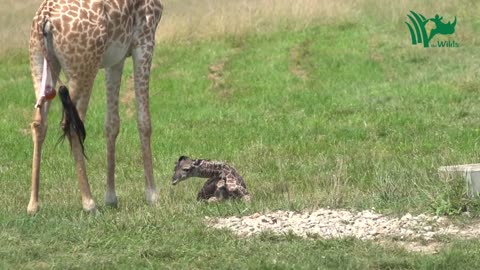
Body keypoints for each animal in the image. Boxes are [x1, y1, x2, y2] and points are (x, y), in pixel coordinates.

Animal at [28, 0, 163, 215]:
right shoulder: (145, 40)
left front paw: (111, 197)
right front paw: (152, 195)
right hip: (84, 69)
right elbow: (144, 122)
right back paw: (89, 203)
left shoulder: (116, 57)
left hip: (40, 63)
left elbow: (112, 124)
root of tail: (45, 19)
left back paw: (33, 205)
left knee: (39, 123)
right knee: (71, 125)